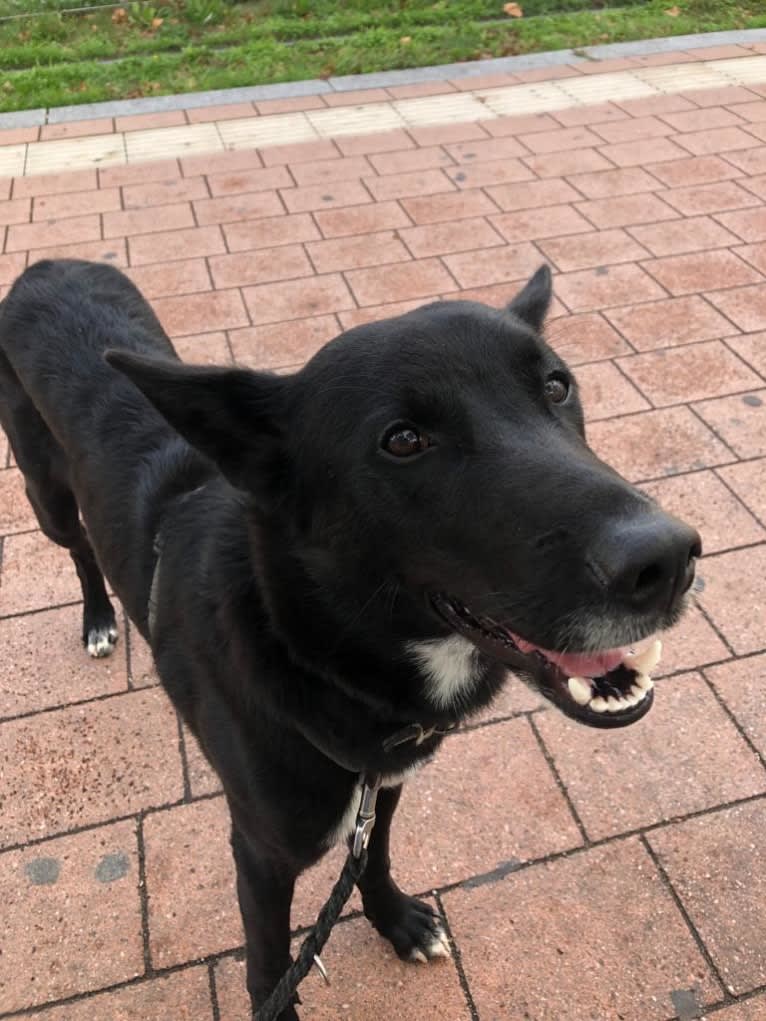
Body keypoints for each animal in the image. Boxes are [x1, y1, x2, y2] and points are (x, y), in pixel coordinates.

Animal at [0, 259, 702, 1016]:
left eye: (556, 385)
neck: (312, 646)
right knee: (78, 548)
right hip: (45, 498)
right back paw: (99, 618)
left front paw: (393, 919)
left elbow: (375, 853)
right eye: (403, 440)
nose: (667, 561)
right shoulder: (262, 852)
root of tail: (46, 265)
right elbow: (269, 960)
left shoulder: (382, 781)